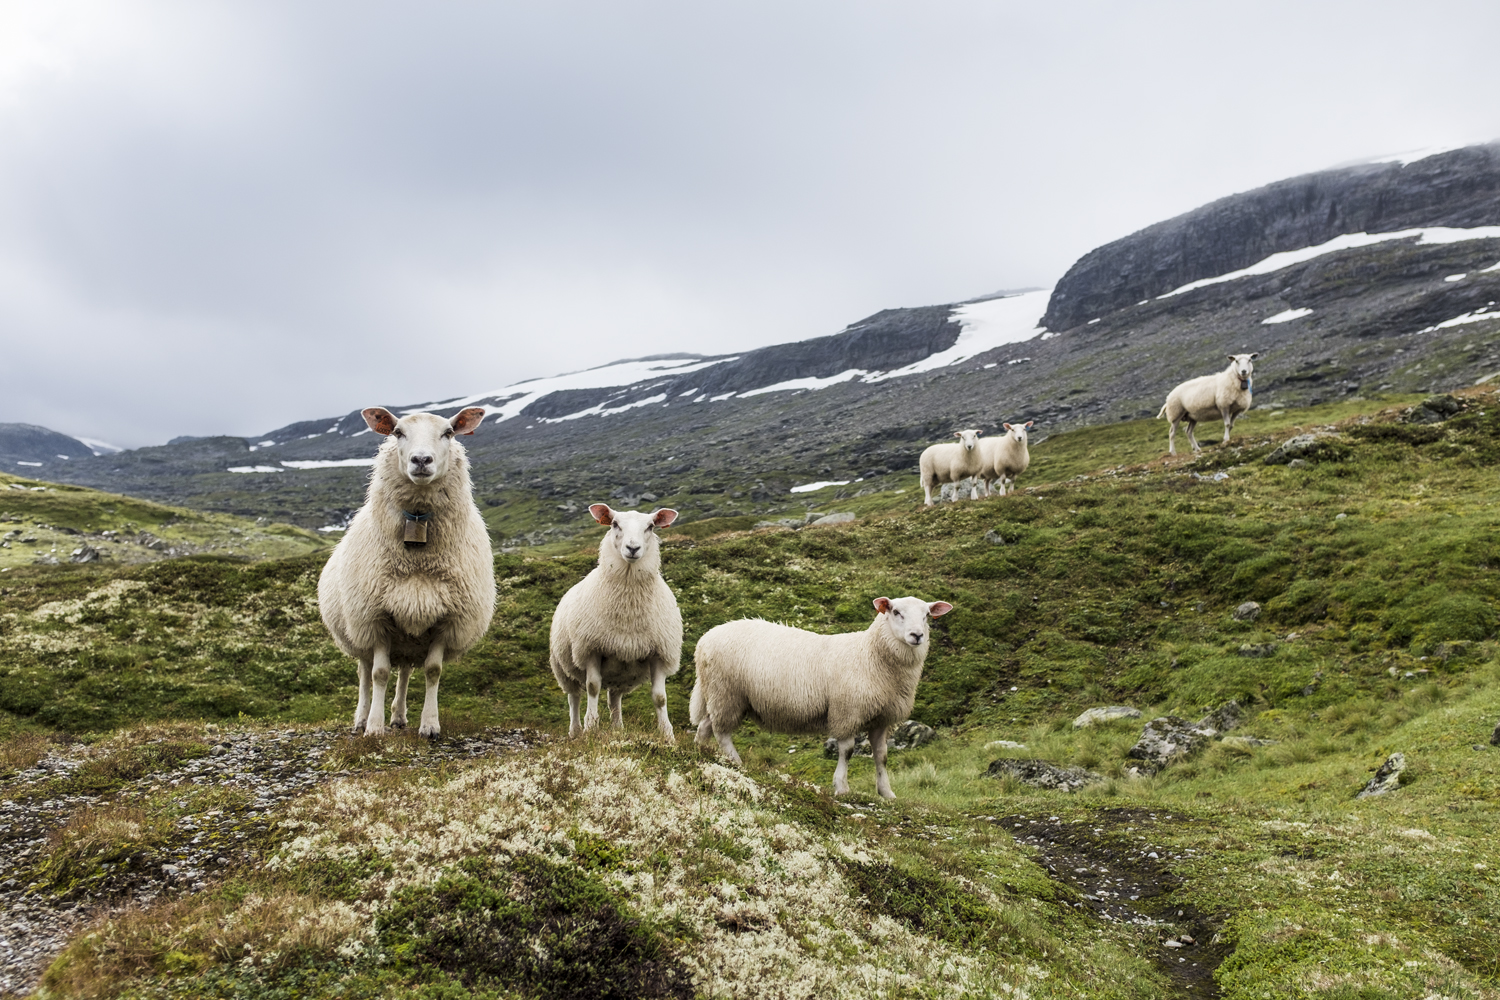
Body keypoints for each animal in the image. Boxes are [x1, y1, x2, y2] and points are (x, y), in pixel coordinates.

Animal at [318, 401, 498, 740]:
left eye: (449, 432)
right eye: (398, 432)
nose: (422, 460)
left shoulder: (446, 619)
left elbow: (433, 671)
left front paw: (429, 725)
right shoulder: (376, 618)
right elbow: (379, 673)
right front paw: (374, 727)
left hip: (410, 637)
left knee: (403, 672)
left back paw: (399, 717)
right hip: (359, 631)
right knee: (365, 673)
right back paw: (361, 719)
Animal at [549, 503, 684, 740]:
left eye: (650, 526)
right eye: (614, 524)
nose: (633, 548)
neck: (628, 609)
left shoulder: (660, 652)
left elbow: (660, 697)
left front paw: (668, 735)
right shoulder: (591, 648)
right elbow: (593, 687)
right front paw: (591, 726)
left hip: (622, 673)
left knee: (614, 699)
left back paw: (617, 728)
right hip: (562, 668)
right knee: (573, 697)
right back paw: (575, 731)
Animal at [687, 599, 954, 803]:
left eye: (927, 615)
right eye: (896, 612)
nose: (917, 635)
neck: (870, 654)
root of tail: (704, 640)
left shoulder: (881, 719)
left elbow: (882, 756)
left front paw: (886, 792)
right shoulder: (847, 711)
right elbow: (847, 751)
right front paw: (842, 787)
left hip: (721, 695)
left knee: (705, 726)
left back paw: (699, 751)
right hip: (726, 693)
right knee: (721, 732)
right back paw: (736, 762)